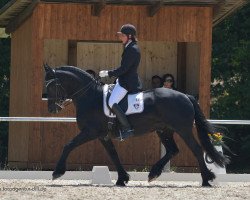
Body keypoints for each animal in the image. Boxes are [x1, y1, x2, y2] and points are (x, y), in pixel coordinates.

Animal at [44, 64, 229, 188]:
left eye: (51, 85)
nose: (52, 109)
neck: (89, 96)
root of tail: (185, 96)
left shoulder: (90, 131)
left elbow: (68, 145)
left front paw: (57, 172)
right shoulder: (103, 135)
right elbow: (113, 154)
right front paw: (122, 178)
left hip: (182, 129)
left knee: (196, 149)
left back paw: (206, 179)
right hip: (164, 130)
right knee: (172, 150)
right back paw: (153, 173)